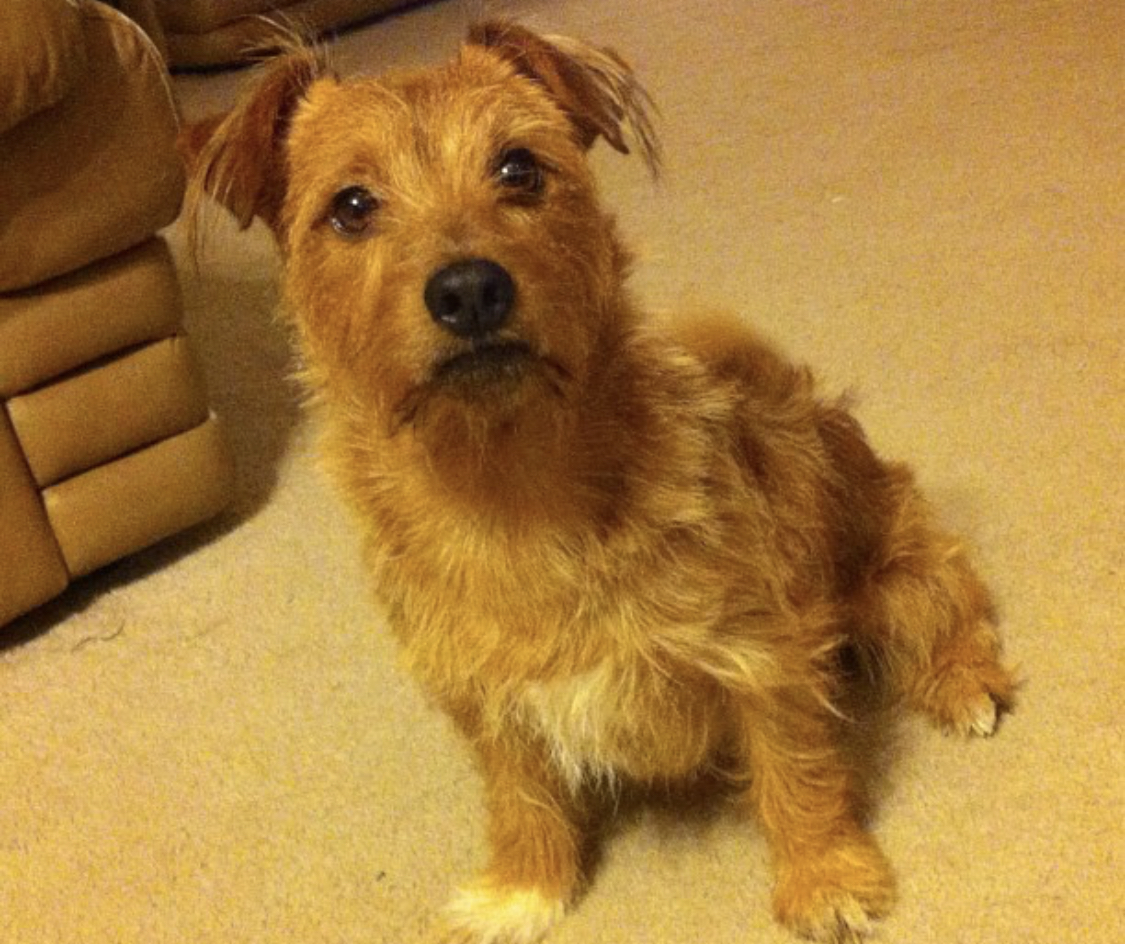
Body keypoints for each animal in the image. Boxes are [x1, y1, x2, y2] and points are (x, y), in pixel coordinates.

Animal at [180, 22, 1017, 944]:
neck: (507, 483)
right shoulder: (488, 702)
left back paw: (964, 685)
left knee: (951, 617)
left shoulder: (764, 656)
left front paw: (823, 877)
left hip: (903, 575)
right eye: (352, 206)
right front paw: (525, 886)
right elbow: (520, 798)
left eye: (519, 168)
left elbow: (795, 771)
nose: (469, 289)